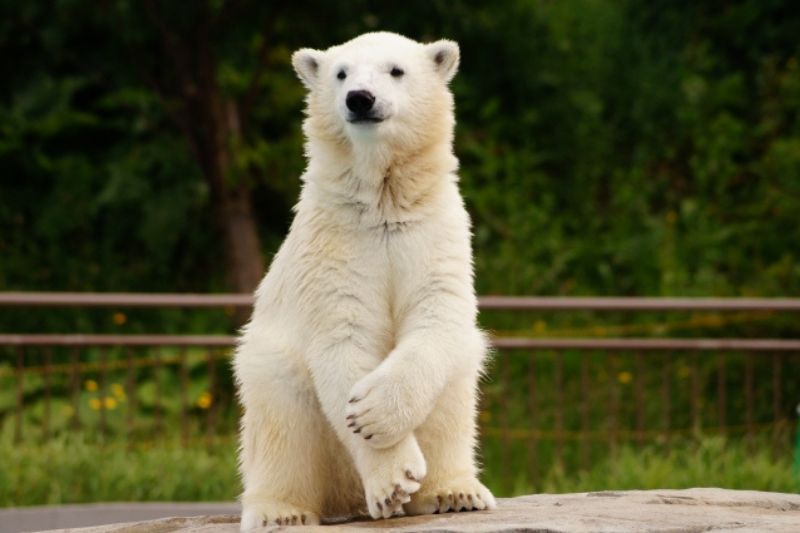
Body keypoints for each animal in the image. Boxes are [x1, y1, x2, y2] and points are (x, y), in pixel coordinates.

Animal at [234, 31, 496, 530]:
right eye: (341, 73)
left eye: (396, 70)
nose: (360, 98)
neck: (383, 205)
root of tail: (343, 497)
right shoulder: (335, 244)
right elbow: (344, 338)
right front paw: (392, 479)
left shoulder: (434, 233)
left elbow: (436, 317)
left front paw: (376, 417)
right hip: (273, 374)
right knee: (281, 423)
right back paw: (282, 511)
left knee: (454, 400)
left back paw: (454, 490)